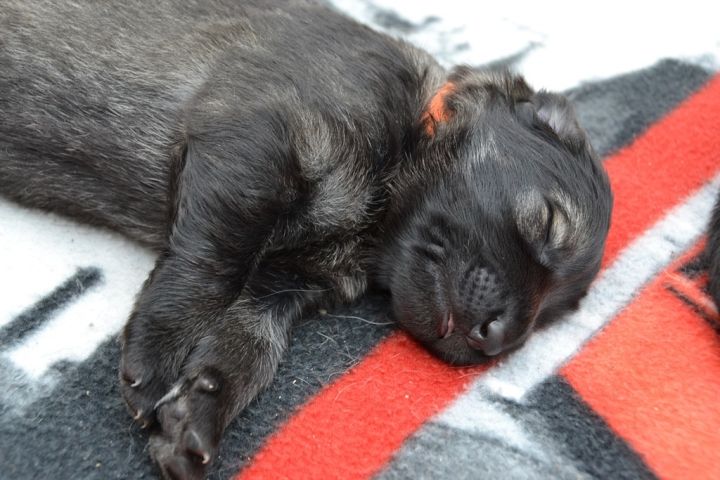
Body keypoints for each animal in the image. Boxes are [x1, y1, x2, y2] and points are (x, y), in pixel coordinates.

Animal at [0, 1, 613, 478]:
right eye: (550, 223)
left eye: (552, 317)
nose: (498, 339)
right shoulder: (258, 145)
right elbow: (211, 264)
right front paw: (158, 352)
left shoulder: (282, 286)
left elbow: (248, 348)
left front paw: (199, 413)